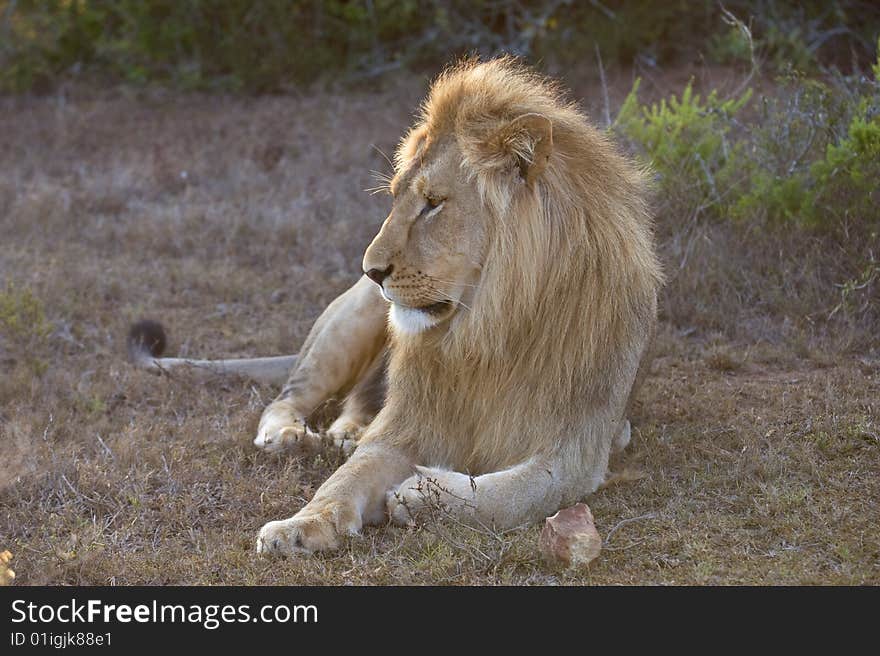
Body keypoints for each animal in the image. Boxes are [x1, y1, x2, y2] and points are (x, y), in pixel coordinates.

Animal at [129, 60, 660, 552]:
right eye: (395, 197)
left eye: (433, 203)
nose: (371, 269)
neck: (487, 328)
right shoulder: (407, 425)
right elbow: (345, 479)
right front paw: (299, 527)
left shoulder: (577, 451)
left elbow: (510, 495)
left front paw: (420, 495)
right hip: (348, 323)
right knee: (288, 396)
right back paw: (289, 437)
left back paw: (343, 435)